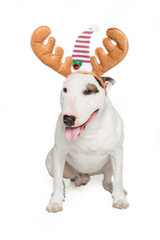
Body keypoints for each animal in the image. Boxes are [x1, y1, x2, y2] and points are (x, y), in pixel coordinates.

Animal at [31, 24, 129, 212]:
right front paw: (55, 201)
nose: (68, 119)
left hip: (109, 164)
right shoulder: (59, 153)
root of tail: (88, 174)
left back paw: (111, 187)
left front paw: (120, 198)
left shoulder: (117, 153)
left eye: (88, 91)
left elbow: (119, 177)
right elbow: (56, 182)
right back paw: (74, 183)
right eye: (65, 90)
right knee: (62, 179)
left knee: (107, 179)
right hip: (50, 160)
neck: (89, 133)